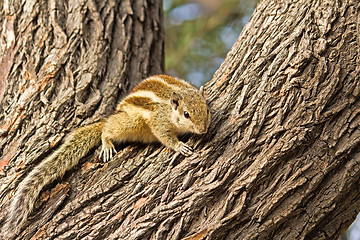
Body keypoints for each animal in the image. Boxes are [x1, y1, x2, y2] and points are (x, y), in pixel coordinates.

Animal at [3, 74, 211, 236]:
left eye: (207, 109)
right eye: (186, 114)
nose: (202, 129)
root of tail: (119, 110)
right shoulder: (159, 121)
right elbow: (165, 136)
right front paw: (180, 146)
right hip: (131, 122)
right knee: (108, 128)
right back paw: (107, 141)